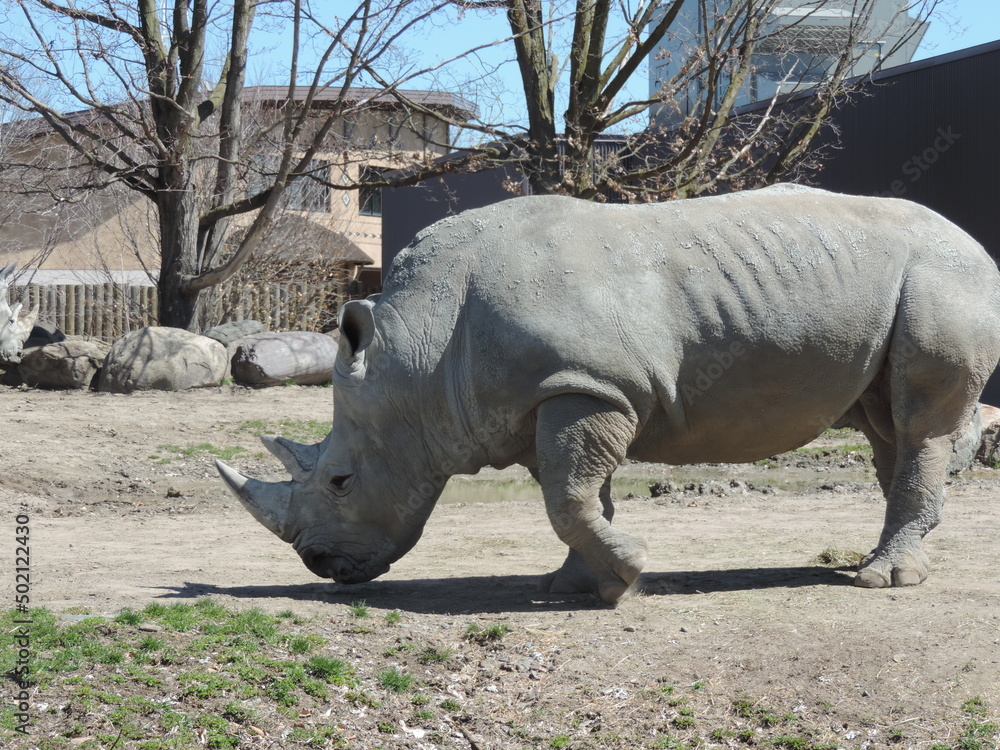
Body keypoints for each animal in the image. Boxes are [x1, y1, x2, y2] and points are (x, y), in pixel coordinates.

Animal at [217, 185, 1000, 605]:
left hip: (944, 275)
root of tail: (976, 243)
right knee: (884, 424)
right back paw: (885, 560)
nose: (321, 567)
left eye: (341, 481)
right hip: (886, 292)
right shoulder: (557, 394)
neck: (421, 353)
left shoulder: (588, 387)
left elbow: (568, 496)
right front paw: (574, 584)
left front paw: (628, 577)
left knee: (918, 420)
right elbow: (576, 495)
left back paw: (883, 581)